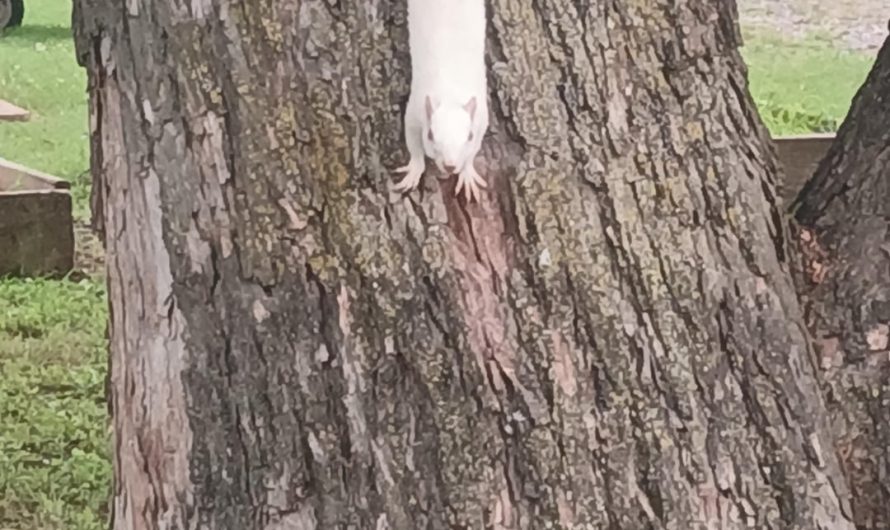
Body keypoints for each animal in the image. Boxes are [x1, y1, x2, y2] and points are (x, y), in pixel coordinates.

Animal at [392, 0, 490, 203]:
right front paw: (415, 169)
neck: (450, 96)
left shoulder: (482, 118)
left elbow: (475, 148)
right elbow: (412, 140)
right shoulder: (415, 109)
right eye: (430, 135)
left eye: (469, 136)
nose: (450, 166)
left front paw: (467, 173)